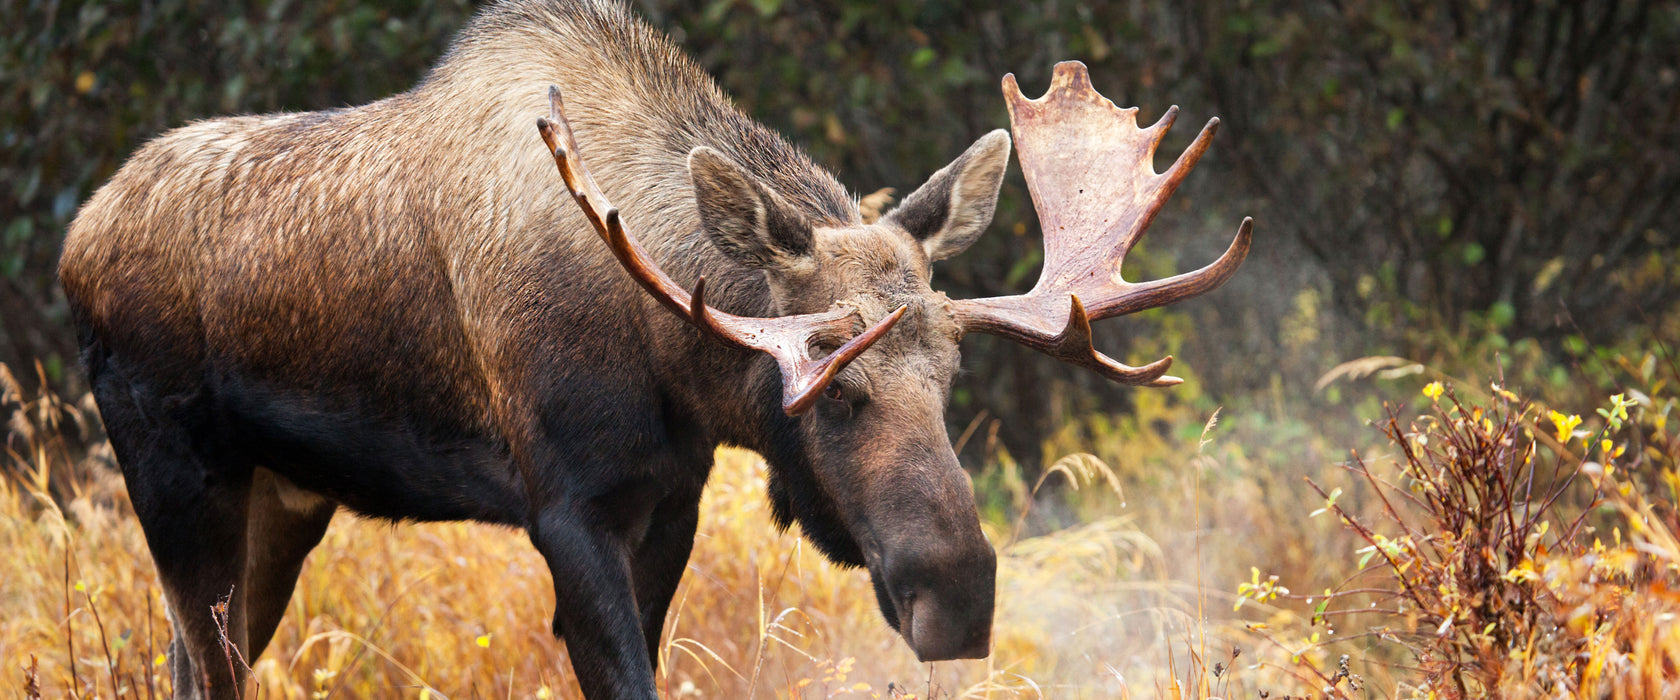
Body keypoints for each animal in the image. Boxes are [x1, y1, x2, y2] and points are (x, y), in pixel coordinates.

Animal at [55, 1, 1249, 698]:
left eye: (949, 381)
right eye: (833, 390)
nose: (957, 595)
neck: (673, 365)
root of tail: (77, 240)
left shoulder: (669, 496)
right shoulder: (565, 507)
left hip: (284, 496)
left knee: (194, 658)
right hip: (176, 474)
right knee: (204, 662)